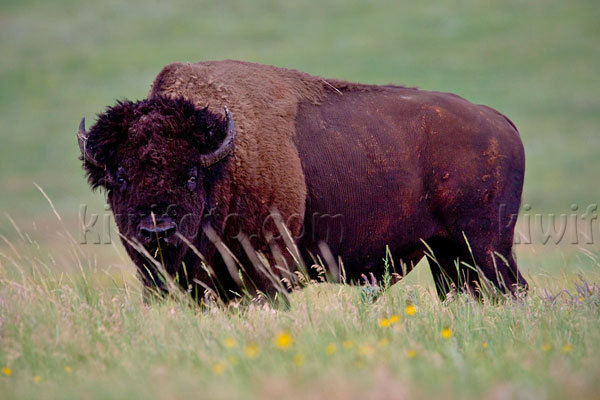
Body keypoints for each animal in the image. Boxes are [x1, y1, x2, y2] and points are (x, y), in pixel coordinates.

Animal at [77, 60, 528, 300]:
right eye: (121, 175)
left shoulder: (264, 267)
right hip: (448, 256)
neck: (223, 161)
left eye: (190, 175)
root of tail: (500, 122)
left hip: (486, 247)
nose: (158, 230)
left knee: (513, 288)